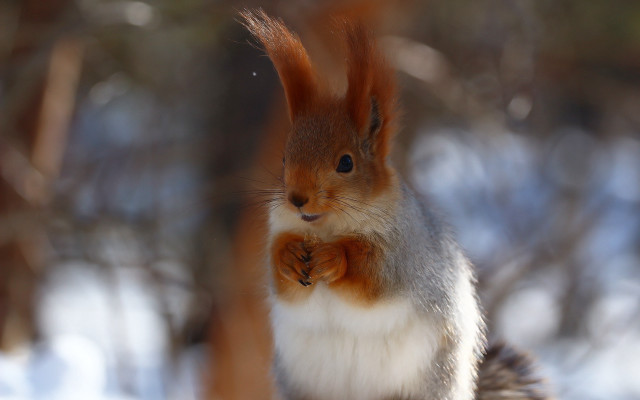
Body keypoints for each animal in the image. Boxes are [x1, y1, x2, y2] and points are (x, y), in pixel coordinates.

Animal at [240, 10, 551, 400]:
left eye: (346, 163)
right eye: (284, 158)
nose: (297, 199)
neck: (325, 227)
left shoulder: (404, 255)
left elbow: (373, 277)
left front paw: (334, 258)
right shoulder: (281, 230)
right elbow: (282, 279)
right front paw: (289, 256)